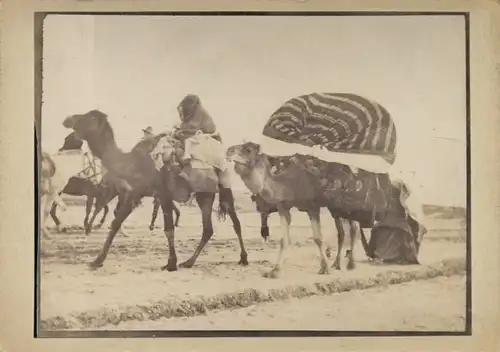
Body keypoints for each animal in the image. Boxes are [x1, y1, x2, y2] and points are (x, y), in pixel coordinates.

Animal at [62, 109, 248, 270]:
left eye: (91, 117)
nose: (68, 119)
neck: (131, 162)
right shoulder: (135, 193)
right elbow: (116, 222)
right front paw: (97, 260)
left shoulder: (162, 193)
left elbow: (168, 229)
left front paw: (171, 264)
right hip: (206, 194)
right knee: (210, 228)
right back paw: (190, 262)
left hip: (219, 188)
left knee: (234, 223)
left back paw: (242, 258)